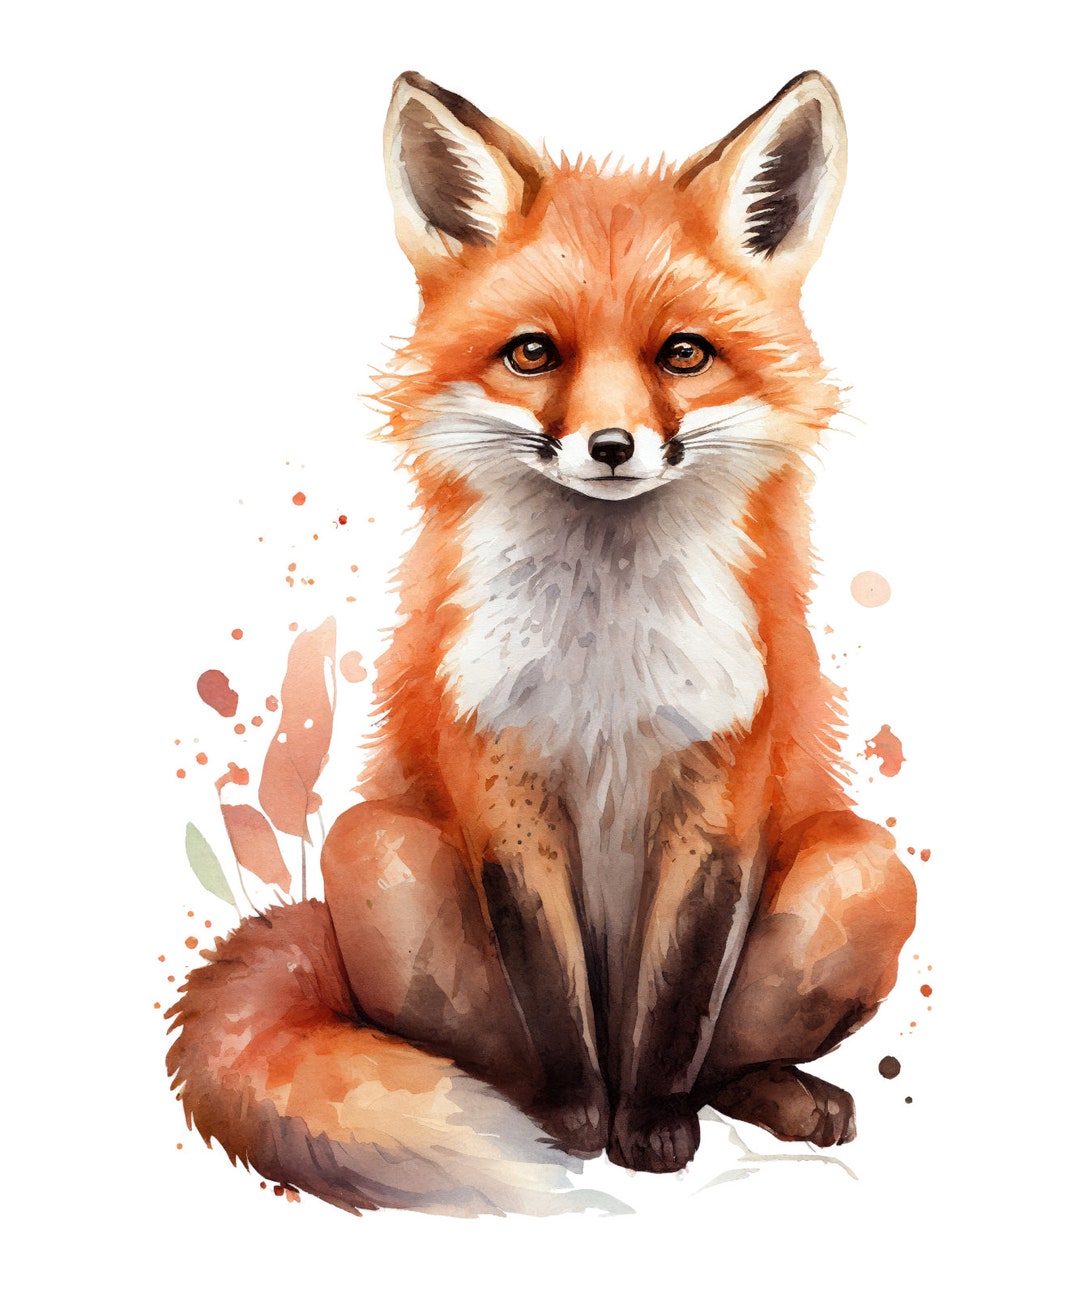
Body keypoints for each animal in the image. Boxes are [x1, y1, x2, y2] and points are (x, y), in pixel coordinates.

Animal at [167, 70, 917, 1216]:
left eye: (683, 354)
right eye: (533, 353)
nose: (610, 446)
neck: (605, 668)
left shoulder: (718, 798)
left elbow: (677, 1004)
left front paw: (648, 1126)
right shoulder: (502, 788)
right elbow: (557, 1003)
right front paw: (575, 1130)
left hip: (864, 872)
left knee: (725, 1060)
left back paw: (774, 1097)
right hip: (376, 850)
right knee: (485, 1061)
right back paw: (504, 1115)